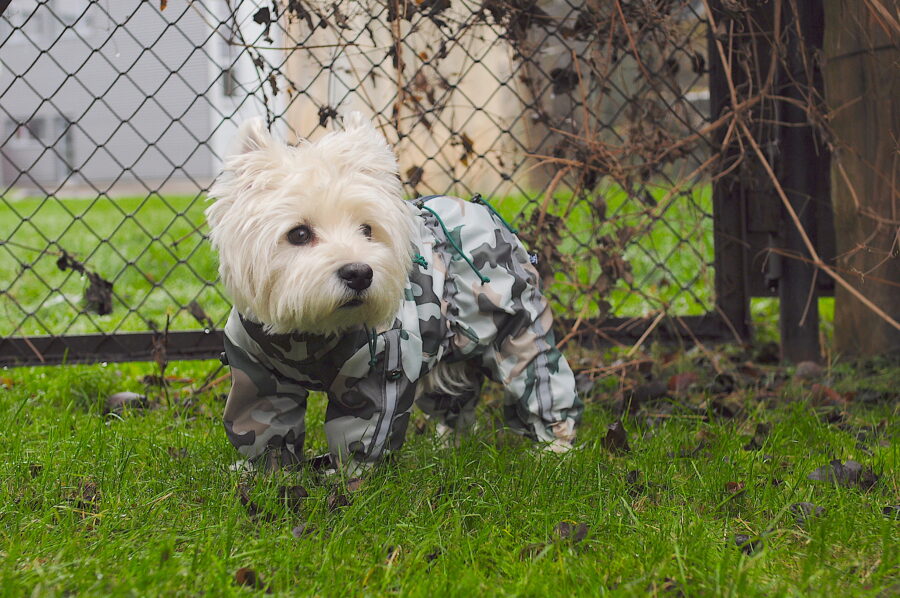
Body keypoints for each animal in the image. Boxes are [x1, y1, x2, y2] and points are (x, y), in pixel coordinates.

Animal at [205, 112, 584, 474]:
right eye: (298, 234)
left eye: (367, 229)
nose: (359, 273)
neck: (309, 334)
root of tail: (481, 209)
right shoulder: (256, 370)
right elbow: (266, 424)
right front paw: (270, 475)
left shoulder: (381, 368)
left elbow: (366, 430)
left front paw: (350, 479)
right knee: (456, 401)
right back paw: (447, 447)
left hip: (517, 331)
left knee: (541, 378)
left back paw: (555, 447)